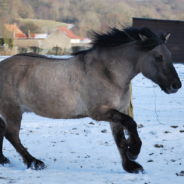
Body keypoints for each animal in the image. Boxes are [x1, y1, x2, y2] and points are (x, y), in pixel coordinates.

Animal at [0, 26, 181, 173]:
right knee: (11, 135)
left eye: (169, 55)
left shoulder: (116, 112)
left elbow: (119, 139)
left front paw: (130, 166)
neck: (108, 73)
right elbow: (131, 124)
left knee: (2, 129)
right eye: (158, 57)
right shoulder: (99, 112)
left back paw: (4, 160)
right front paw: (133, 152)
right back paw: (34, 163)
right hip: (13, 110)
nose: (176, 85)